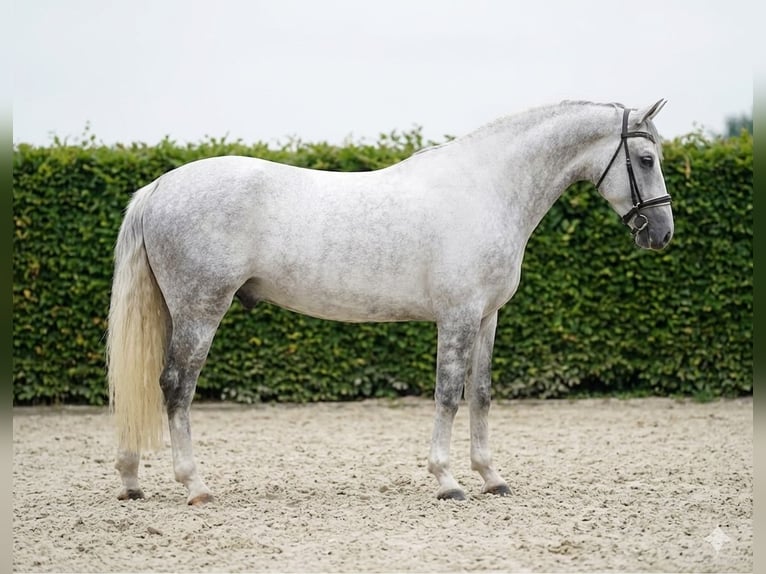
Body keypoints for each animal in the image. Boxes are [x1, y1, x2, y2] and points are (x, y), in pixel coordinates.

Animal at [107, 99, 673, 504]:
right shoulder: (457, 317)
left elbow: (481, 394)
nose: (662, 233)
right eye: (645, 159)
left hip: (173, 311)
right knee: (176, 386)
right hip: (201, 310)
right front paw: (447, 481)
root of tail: (159, 187)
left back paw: (132, 481)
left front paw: (491, 477)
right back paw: (194, 485)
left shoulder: (487, 317)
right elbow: (448, 394)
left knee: (149, 383)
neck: (487, 189)